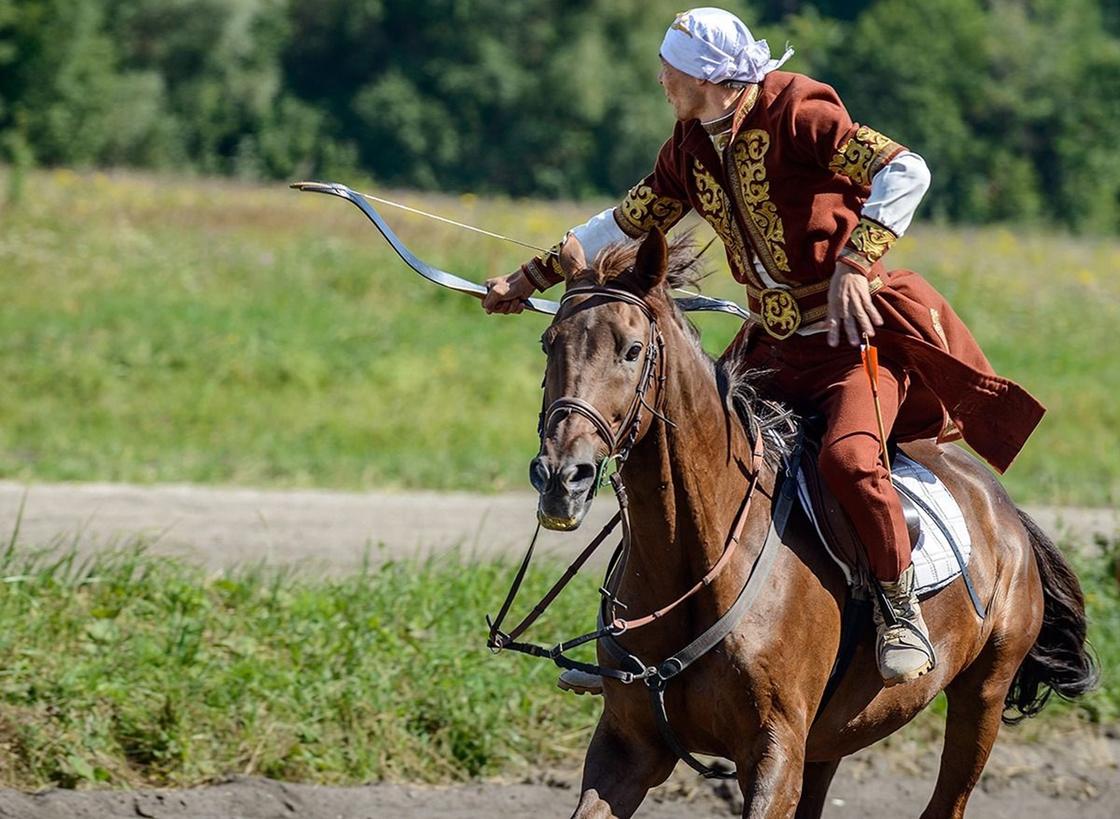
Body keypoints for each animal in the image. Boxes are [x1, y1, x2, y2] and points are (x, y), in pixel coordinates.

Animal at [528, 228, 1097, 819]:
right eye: (550, 343)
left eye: (632, 350)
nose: (561, 475)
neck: (698, 562)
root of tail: (1005, 511)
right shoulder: (627, 746)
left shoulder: (775, 756)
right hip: (833, 738)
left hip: (982, 695)